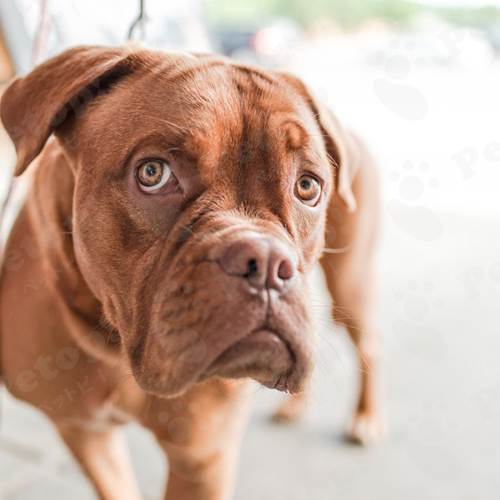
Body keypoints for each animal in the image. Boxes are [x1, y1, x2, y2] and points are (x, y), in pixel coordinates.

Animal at [0, 45, 382, 498]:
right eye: (152, 173)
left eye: (308, 187)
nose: (267, 262)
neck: (116, 346)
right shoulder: (85, 433)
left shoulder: (201, 459)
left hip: (350, 284)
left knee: (368, 343)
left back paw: (366, 419)